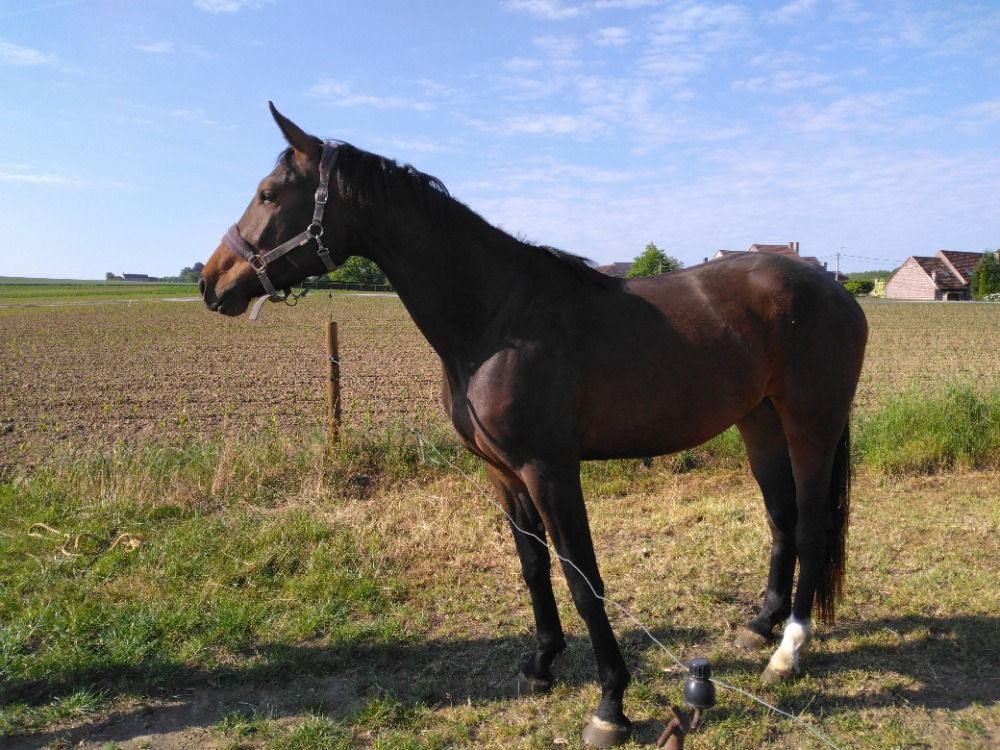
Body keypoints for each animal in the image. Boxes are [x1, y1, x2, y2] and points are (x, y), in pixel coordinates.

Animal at [199, 104, 868, 747]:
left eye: (268, 193)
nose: (211, 282)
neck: (496, 319)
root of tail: (839, 292)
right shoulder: (504, 473)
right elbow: (533, 566)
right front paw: (542, 665)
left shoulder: (550, 471)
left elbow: (581, 577)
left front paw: (611, 703)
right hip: (760, 424)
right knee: (781, 520)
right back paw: (760, 627)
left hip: (811, 423)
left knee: (811, 526)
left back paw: (788, 651)